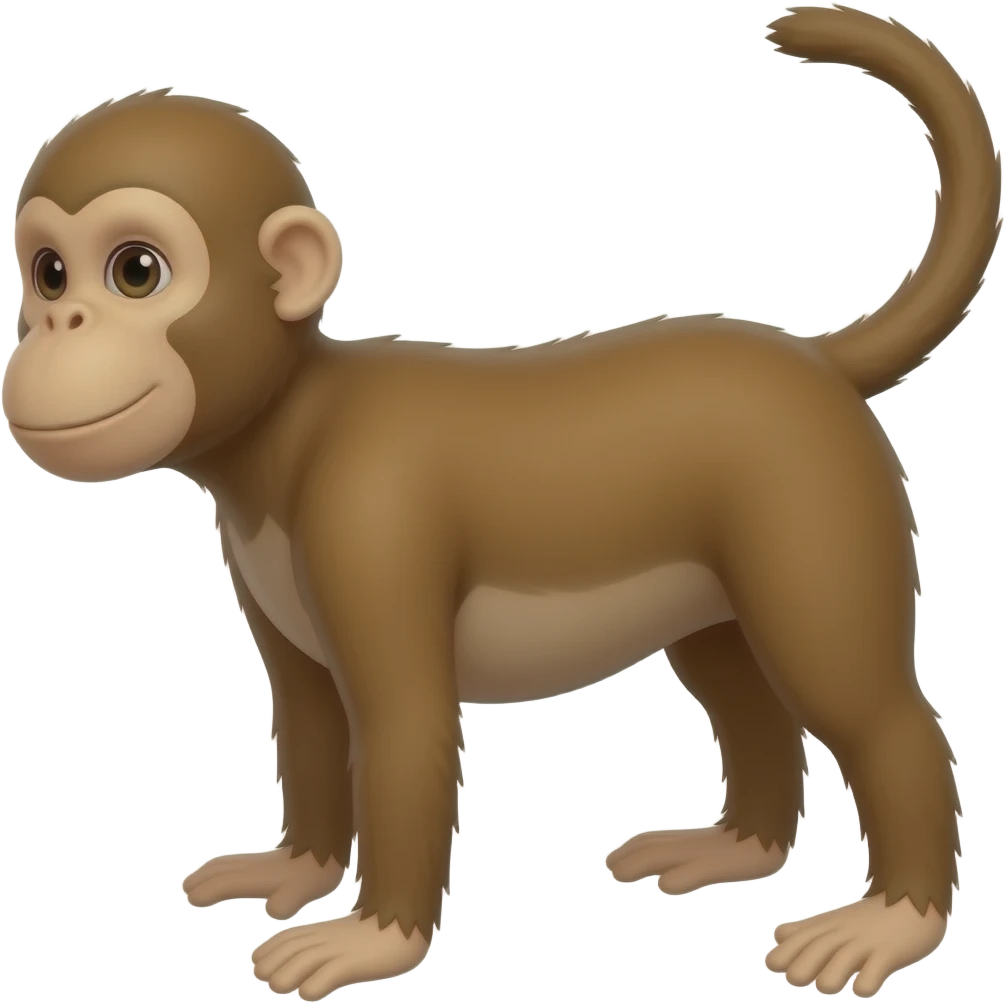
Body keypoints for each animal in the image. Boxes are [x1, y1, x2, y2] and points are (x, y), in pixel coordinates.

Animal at [2, 5, 998, 1000]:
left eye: (136, 272)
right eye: (49, 275)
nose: (59, 327)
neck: (290, 422)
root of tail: (815, 360)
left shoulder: (369, 511)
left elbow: (404, 724)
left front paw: (373, 937)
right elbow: (308, 717)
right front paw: (294, 867)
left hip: (811, 499)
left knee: (868, 705)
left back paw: (893, 918)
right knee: (740, 690)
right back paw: (734, 847)